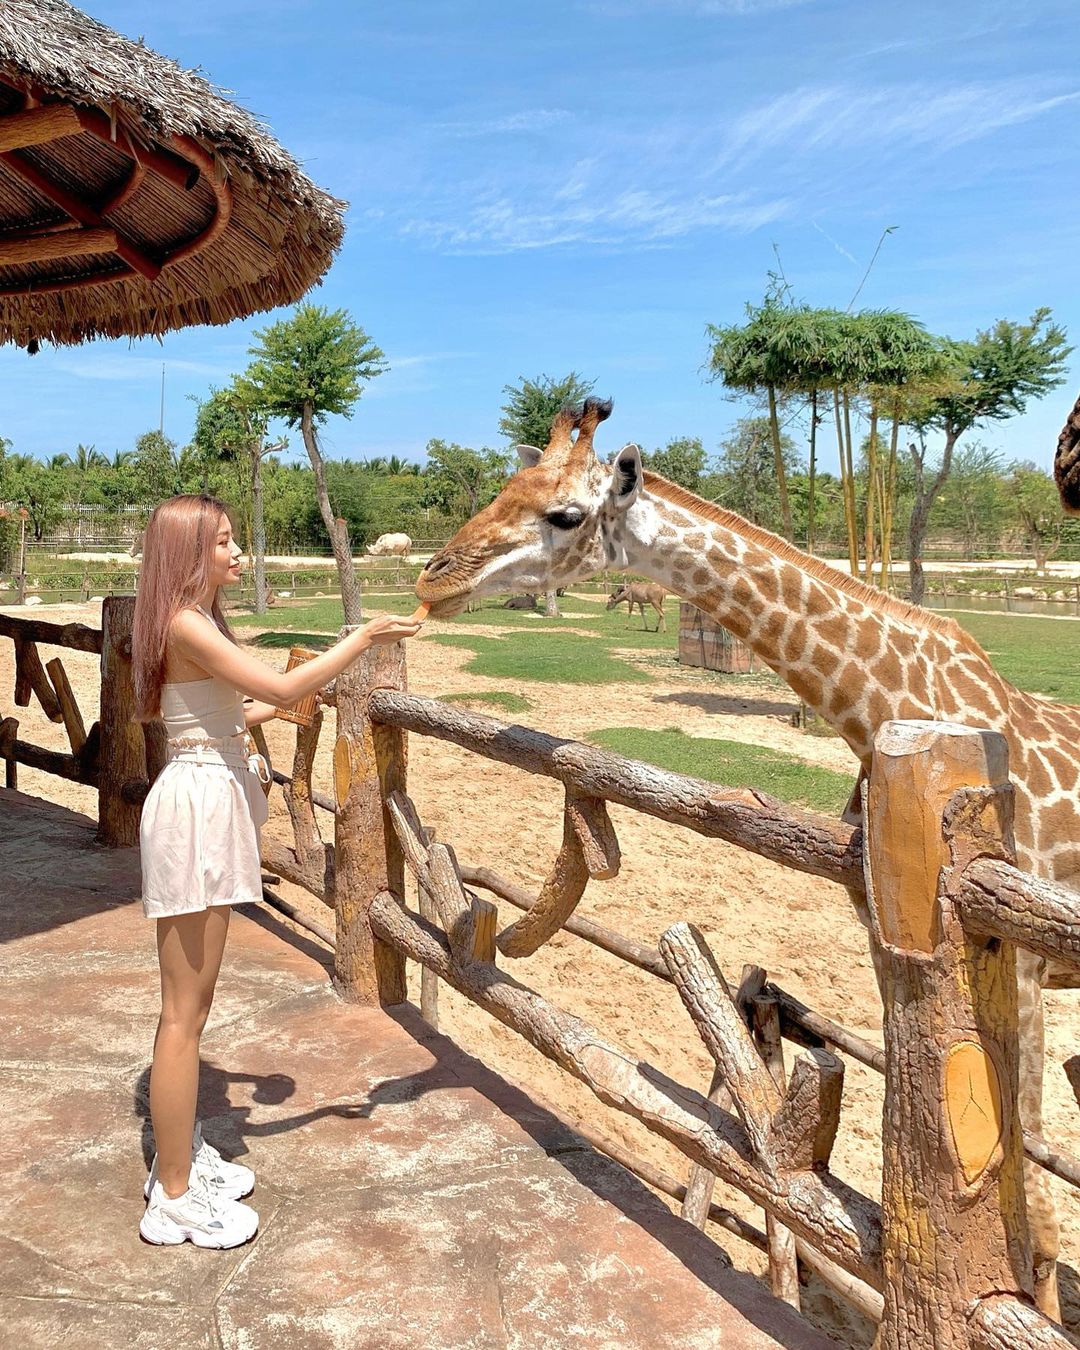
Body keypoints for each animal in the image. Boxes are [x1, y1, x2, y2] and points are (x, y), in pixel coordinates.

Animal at [418, 394, 1080, 1317]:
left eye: (565, 514)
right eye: (504, 489)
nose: (430, 578)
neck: (883, 709)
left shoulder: (1017, 954)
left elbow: (1038, 1222)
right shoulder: (890, 938)